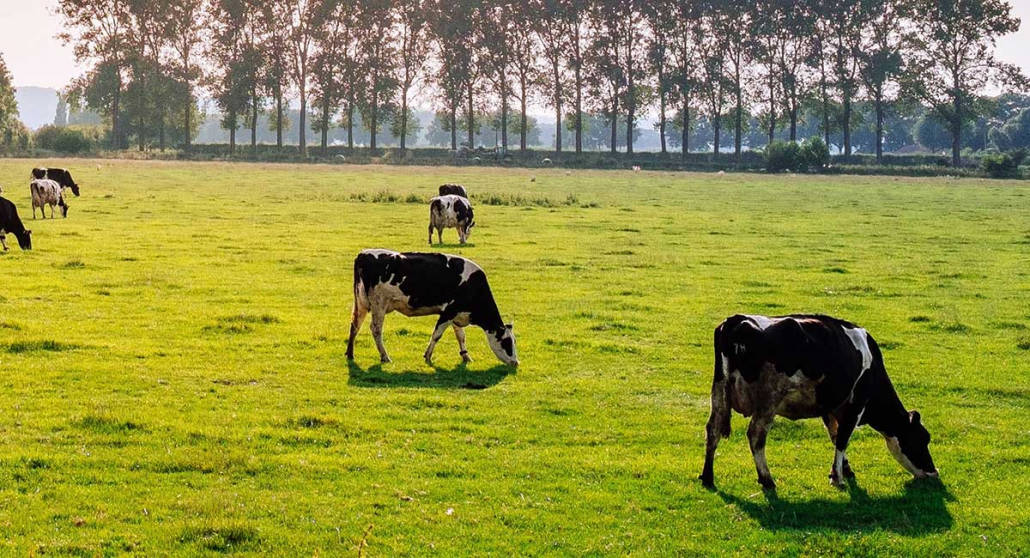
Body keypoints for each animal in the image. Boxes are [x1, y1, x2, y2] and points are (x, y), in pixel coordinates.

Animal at [346, 251, 519, 370]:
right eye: (507, 342)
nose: (516, 362)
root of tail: (363, 254)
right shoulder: (448, 312)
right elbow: (437, 335)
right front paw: (428, 356)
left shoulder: (457, 314)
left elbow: (461, 336)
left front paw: (466, 357)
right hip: (378, 305)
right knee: (375, 329)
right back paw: (385, 356)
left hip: (361, 303)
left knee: (355, 325)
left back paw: (350, 354)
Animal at [704, 315, 939, 490]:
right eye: (921, 439)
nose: (934, 472)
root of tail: (737, 320)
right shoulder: (856, 404)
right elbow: (843, 438)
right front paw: (838, 478)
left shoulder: (830, 406)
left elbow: (835, 436)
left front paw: (843, 469)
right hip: (768, 400)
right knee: (755, 436)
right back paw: (767, 479)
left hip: (719, 392)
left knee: (713, 429)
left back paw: (707, 477)